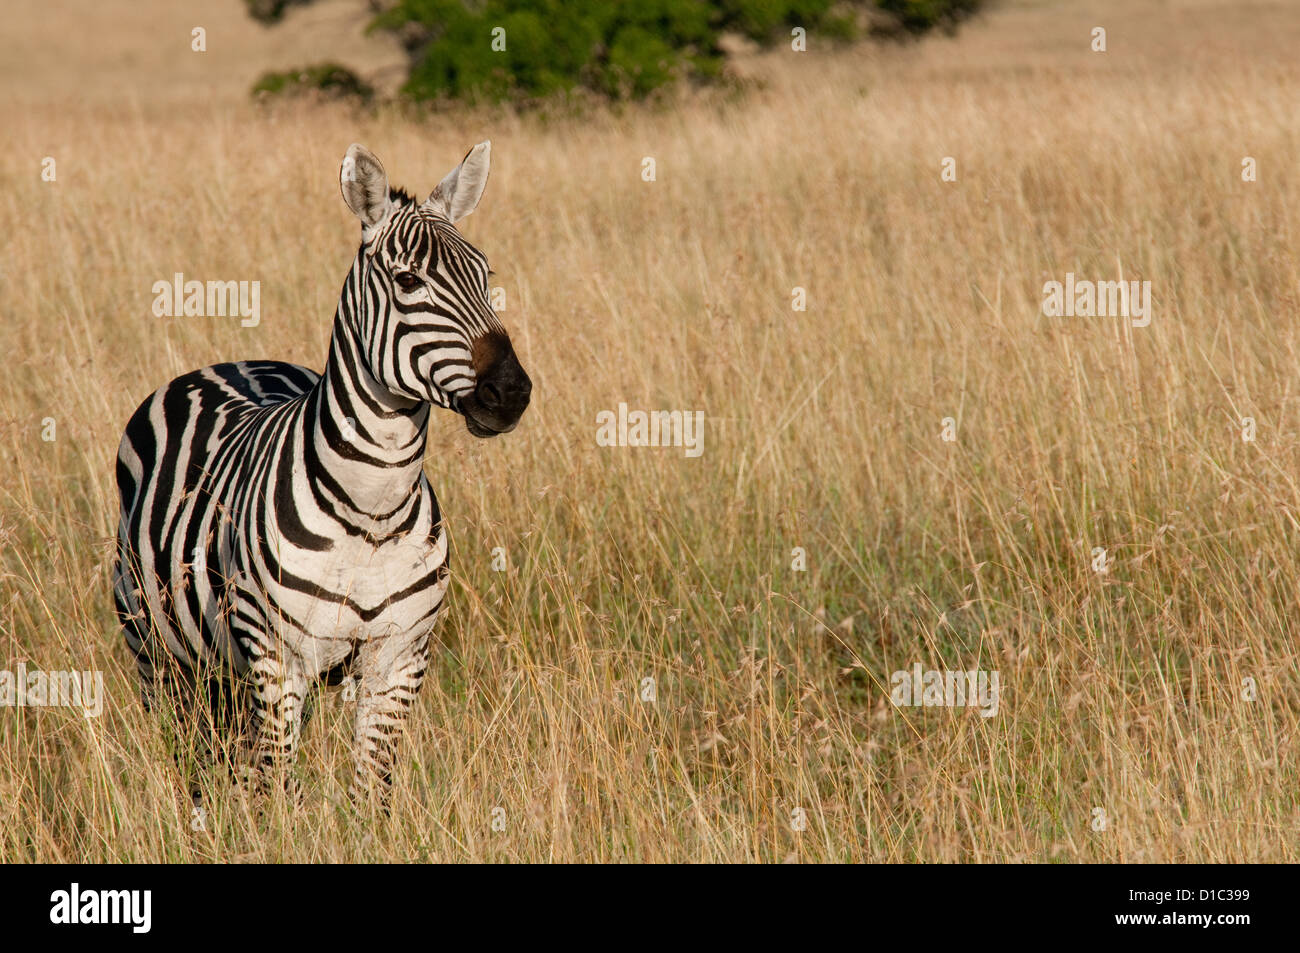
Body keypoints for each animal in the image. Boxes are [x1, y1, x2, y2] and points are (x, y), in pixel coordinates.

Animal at [112, 142, 531, 806]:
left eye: (485, 278)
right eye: (408, 281)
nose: (511, 393)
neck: (373, 510)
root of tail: (231, 361)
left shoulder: (398, 659)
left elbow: (370, 793)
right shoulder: (277, 656)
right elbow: (277, 788)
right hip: (156, 651)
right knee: (192, 754)